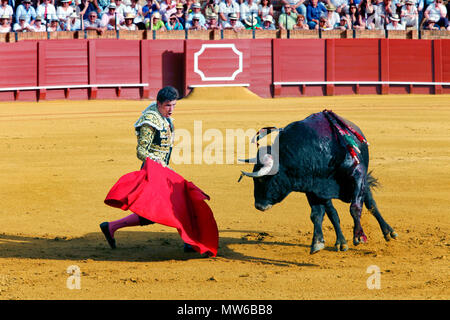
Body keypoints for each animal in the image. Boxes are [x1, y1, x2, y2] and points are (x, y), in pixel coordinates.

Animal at [239, 110, 398, 255]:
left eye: (261, 178)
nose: (259, 205)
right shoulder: (314, 189)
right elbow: (318, 214)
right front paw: (318, 242)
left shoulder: (358, 175)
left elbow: (355, 207)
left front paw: (358, 236)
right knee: (333, 213)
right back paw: (341, 242)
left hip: (362, 181)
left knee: (371, 204)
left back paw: (388, 232)